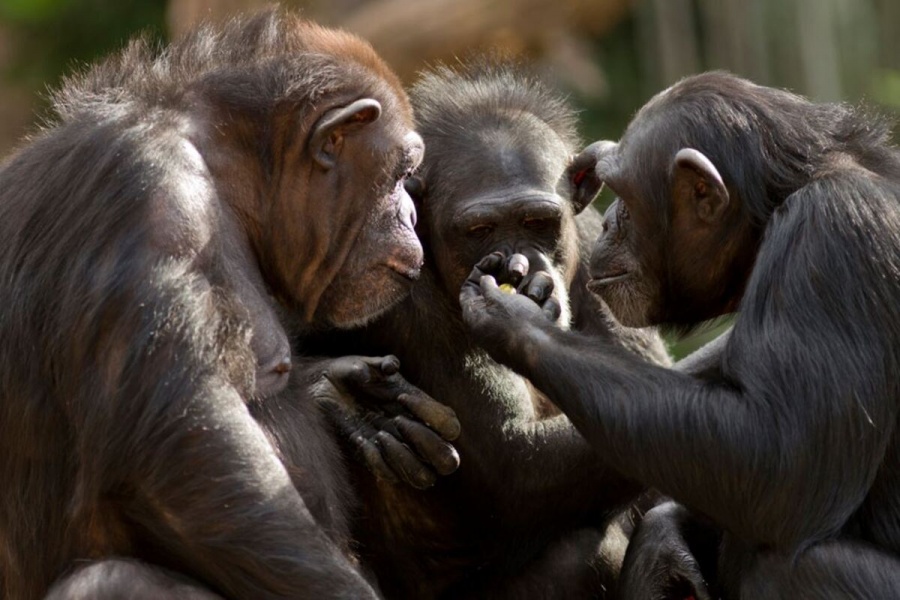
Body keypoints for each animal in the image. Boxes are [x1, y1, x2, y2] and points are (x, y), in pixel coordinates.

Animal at [0, 10, 460, 600]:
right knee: (114, 578)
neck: (225, 173)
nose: (410, 212)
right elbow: (188, 458)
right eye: (403, 173)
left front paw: (349, 397)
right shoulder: (149, 197)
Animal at [310, 62, 676, 600]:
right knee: (583, 553)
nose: (519, 265)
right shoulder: (400, 296)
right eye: (479, 230)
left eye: (538, 221)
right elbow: (515, 462)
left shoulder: (602, 247)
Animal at [460, 71, 900, 600]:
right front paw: (664, 546)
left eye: (624, 197)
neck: (776, 207)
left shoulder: (831, 236)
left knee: (791, 567)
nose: (606, 221)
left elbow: (783, 459)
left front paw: (515, 317)